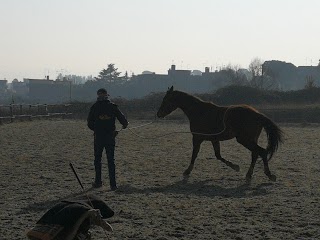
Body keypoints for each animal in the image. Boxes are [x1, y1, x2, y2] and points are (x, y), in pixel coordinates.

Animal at [156, 85, 284, 181]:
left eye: (166, 99)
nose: (158, 114)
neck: (199, 112)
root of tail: (257, 114)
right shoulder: (214, 139)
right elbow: (218, 155)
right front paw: (235, 166)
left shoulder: (197, 138)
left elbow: (194, 154)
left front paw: (187, 171)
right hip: (250, 140)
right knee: (255, 154)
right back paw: (249, 174)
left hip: (244, 139)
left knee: (261, 152)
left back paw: (269, 174)